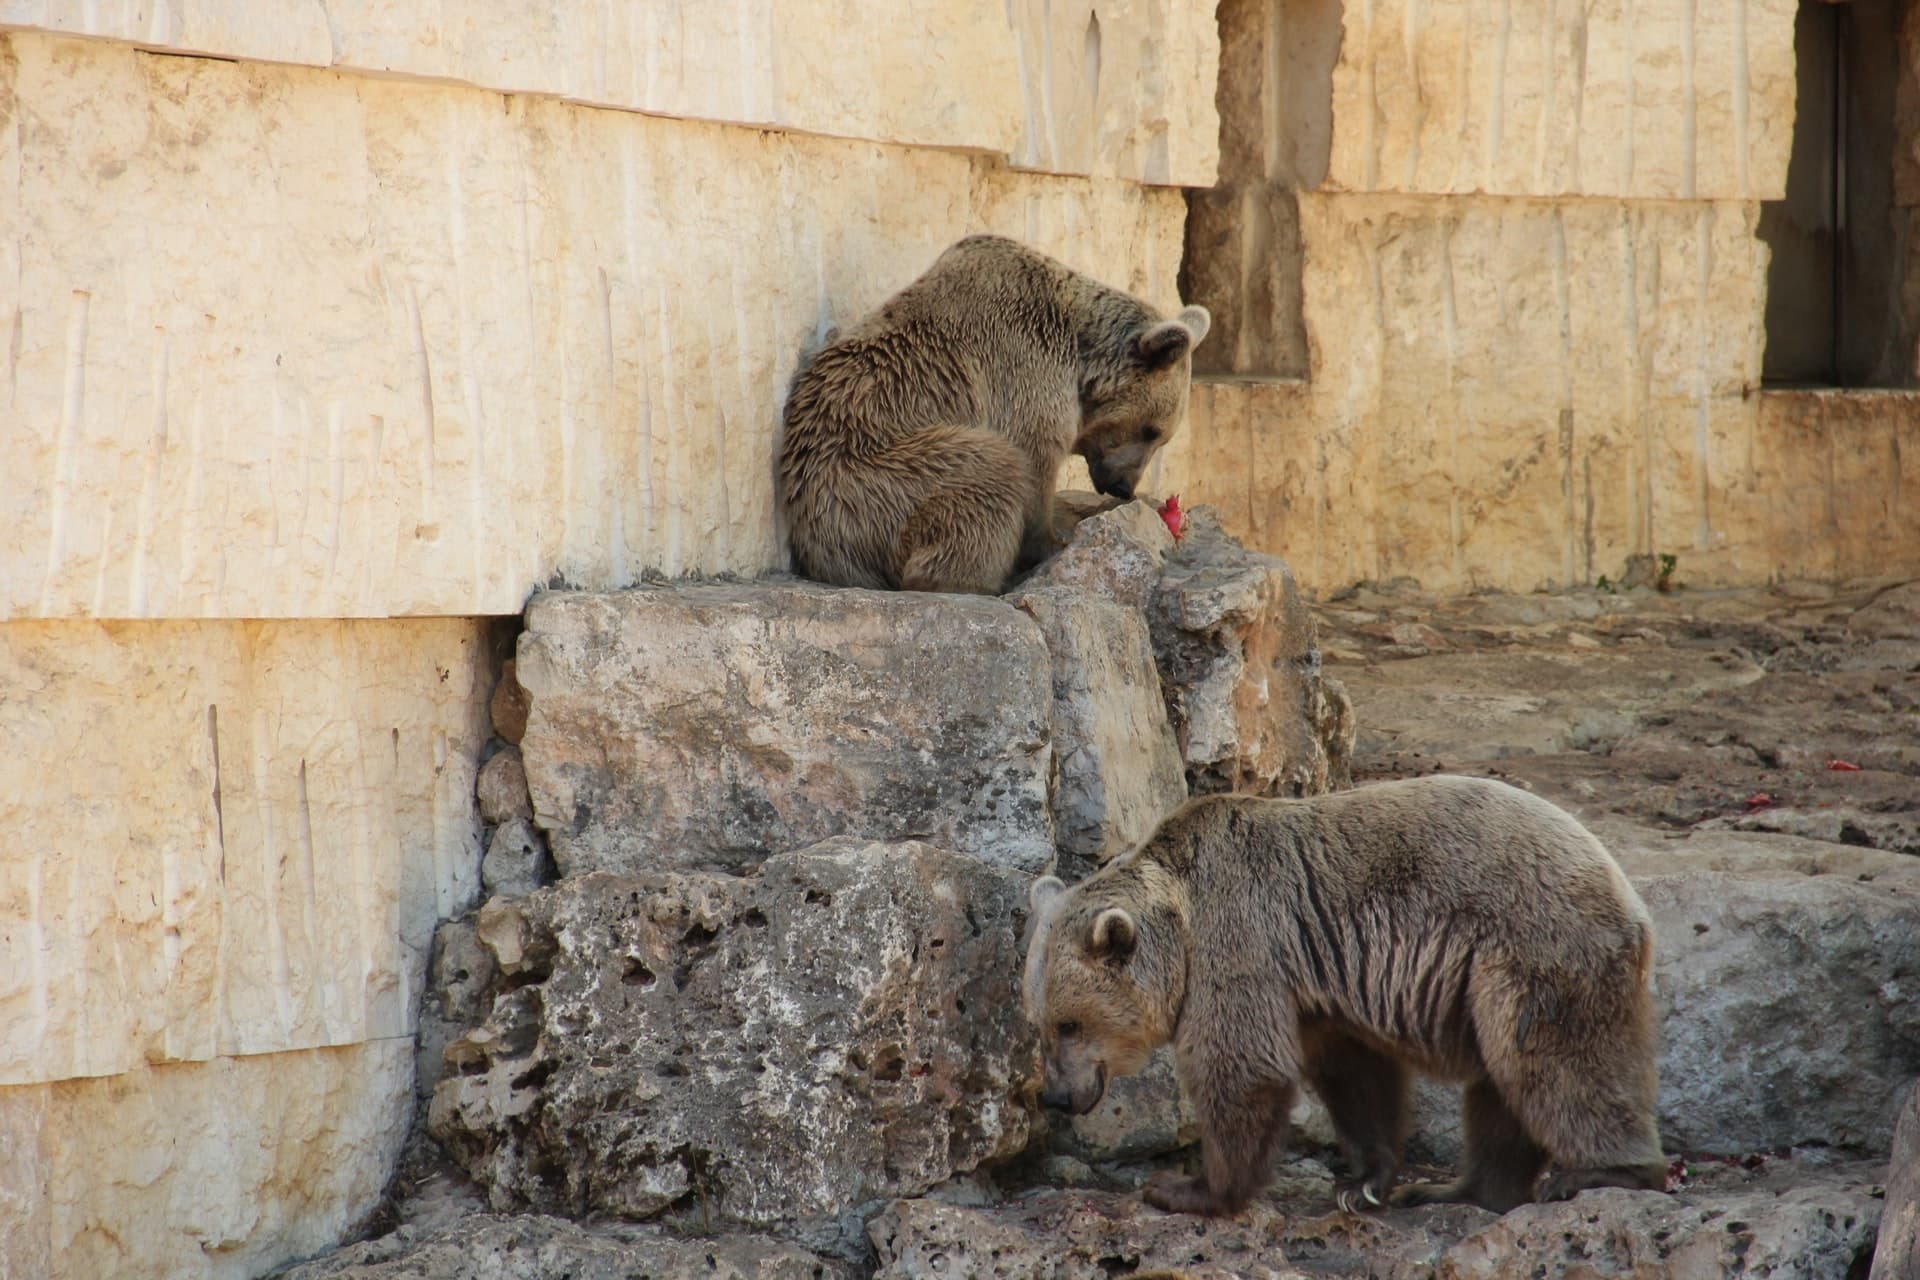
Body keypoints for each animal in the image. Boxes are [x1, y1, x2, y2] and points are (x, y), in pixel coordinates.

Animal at [776, 234, 1211, 595]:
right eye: (1152, 431)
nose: (1123, 487)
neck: (1080, 355)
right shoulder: (1022, 368)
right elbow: (1034, 460)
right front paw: (1051, 543)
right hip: (876, 479)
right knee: (991, 469)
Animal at [1022, 774, 1669, 1217]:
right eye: (1039, 1023)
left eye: (1070, 1024)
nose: (1055, 1096)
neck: (1179, 920)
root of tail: (1632, 899)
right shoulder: (1315, 985)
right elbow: (1354, 1074)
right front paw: (1368, 1182)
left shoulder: (1241, 940)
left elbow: (1241, 1065)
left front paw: (1189, 1187)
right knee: (1503, 1089)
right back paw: (1452, 1189)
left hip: (1537, 945)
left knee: (1562, 1068)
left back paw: (1602, 1174)